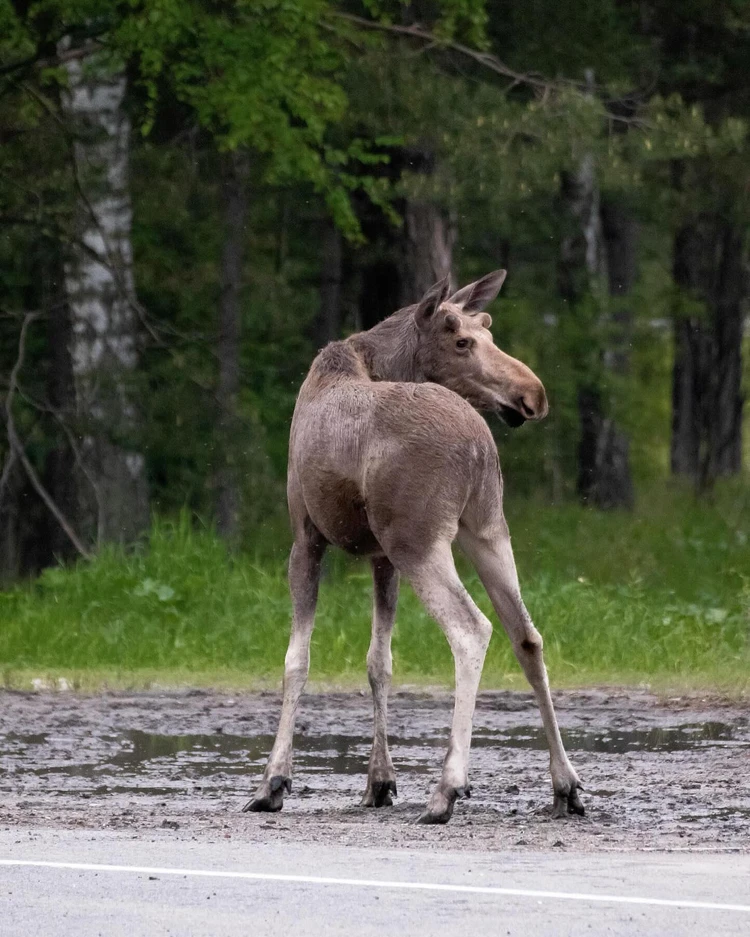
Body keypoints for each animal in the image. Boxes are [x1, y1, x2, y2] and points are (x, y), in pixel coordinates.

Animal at [247, 268, 588, 820]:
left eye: (484, 331)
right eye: (466, 338)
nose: (533, 395)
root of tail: (478, 445)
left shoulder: (306, 534)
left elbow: (296, 661)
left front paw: (273, 781)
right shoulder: (380, 555)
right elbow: (378, 662)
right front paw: (379, 781)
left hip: (420, 539)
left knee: (472, 630)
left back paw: (448, 787)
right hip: (486, 529)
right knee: (527, 635)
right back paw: (566, 784)